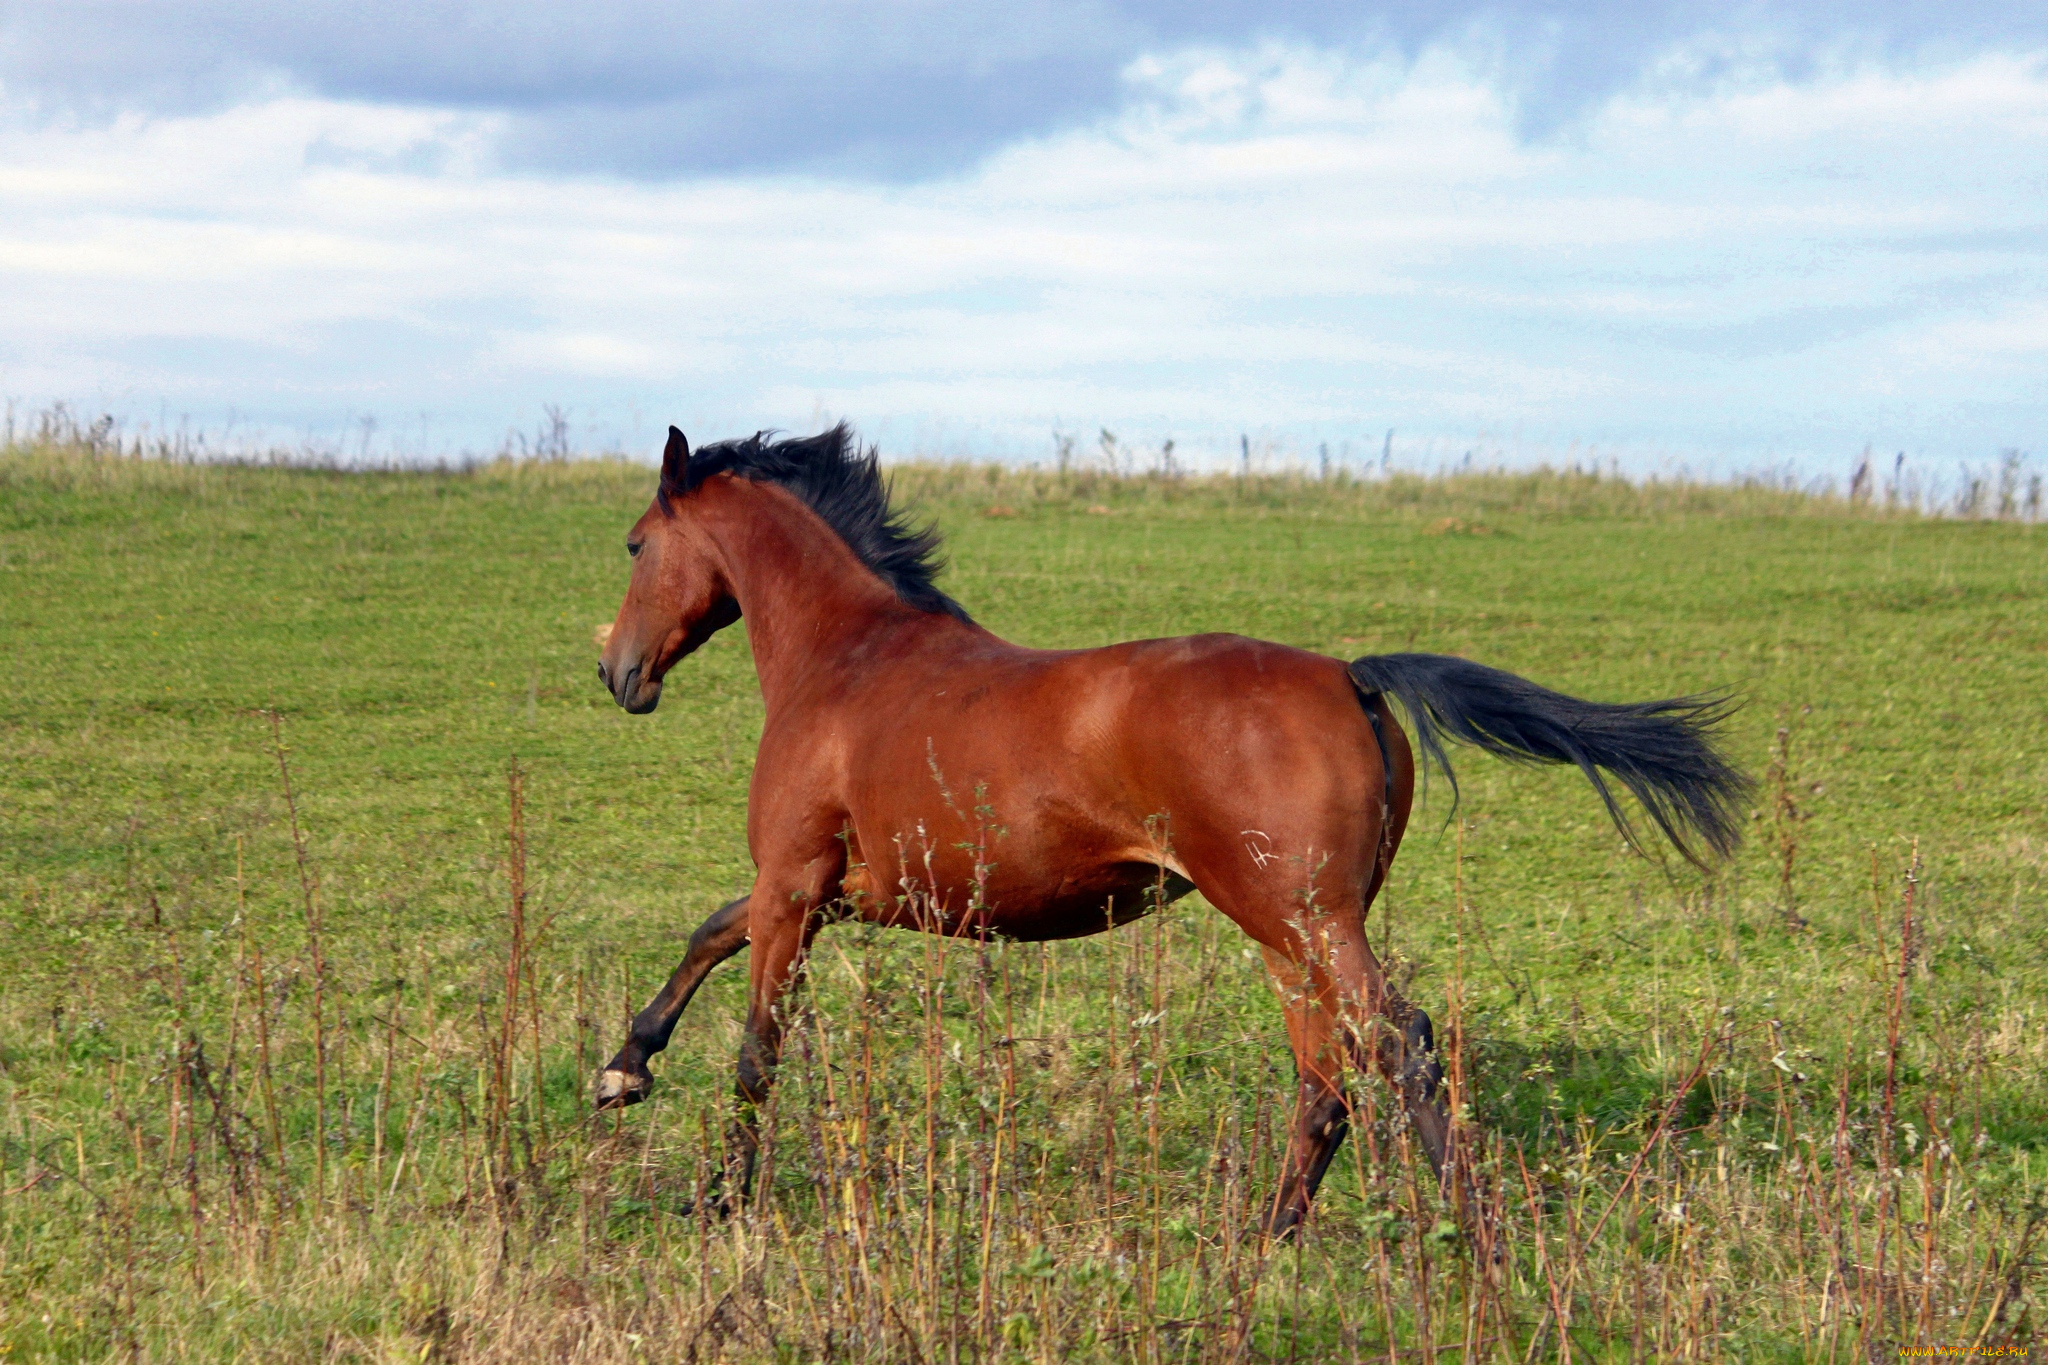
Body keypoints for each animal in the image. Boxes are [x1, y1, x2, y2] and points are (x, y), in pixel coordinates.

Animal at [589, 429, 1744, 1236]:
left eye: (637, 543)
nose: (617, 673)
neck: (847, 659)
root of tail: (1352, 675)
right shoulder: (834, 888)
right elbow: (708, 929)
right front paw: (624, 1067)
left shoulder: (794, 882)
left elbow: (756, 1048)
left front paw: (719, 1201)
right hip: (1294, 928)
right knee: (1325, 1078)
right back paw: (1266, 1241)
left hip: (1299, 917)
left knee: (1398, 1042)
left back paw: (1474, 1231)